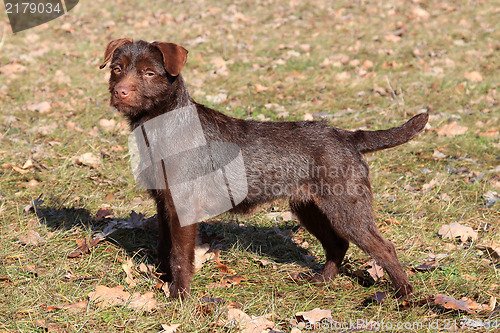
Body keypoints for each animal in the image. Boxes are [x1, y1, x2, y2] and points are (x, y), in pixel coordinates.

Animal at [99, 39, 428, 298]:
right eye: (117, 69)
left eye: (149, 73)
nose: (121, 92)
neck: (162, 127)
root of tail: (348, 136)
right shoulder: (163, 202)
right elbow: (164, 246)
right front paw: (164, 282)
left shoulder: (183, 206)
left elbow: (180, 255)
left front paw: (179, 296)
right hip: (310, 209)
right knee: (337, 245)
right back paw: (322, 281)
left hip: (347, 209)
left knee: (384, 248)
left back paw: (405, 295)